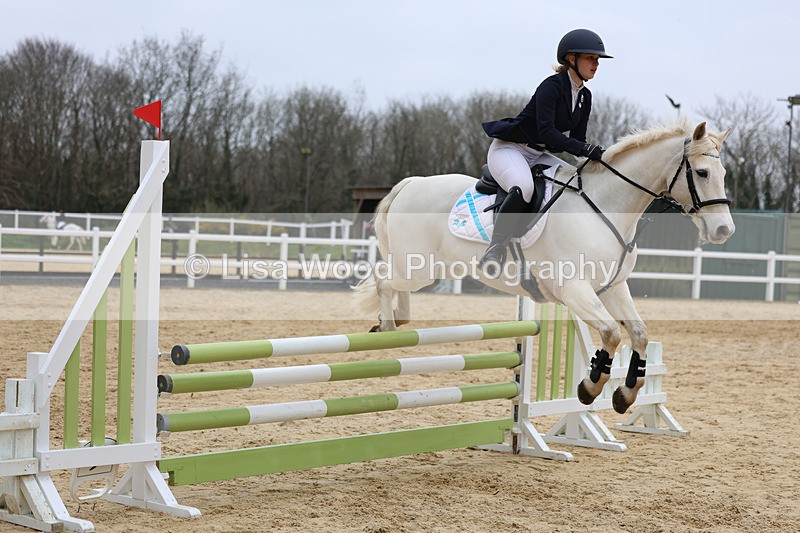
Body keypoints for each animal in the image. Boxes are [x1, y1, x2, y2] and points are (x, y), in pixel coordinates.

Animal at [354, 121, 734, 414]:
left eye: (723, 173)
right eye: (702, 172)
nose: (723, 230)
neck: (608, 207)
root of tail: (411, 183)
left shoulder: (612, 287)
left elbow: (638, 334)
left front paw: (625, 395)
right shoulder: (575, 289)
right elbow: (611, 333)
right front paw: (589, 387)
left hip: (431, 268)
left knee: (392, 284)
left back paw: (398, 321)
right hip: (418, 268)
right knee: (384, 280)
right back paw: (387, 328)